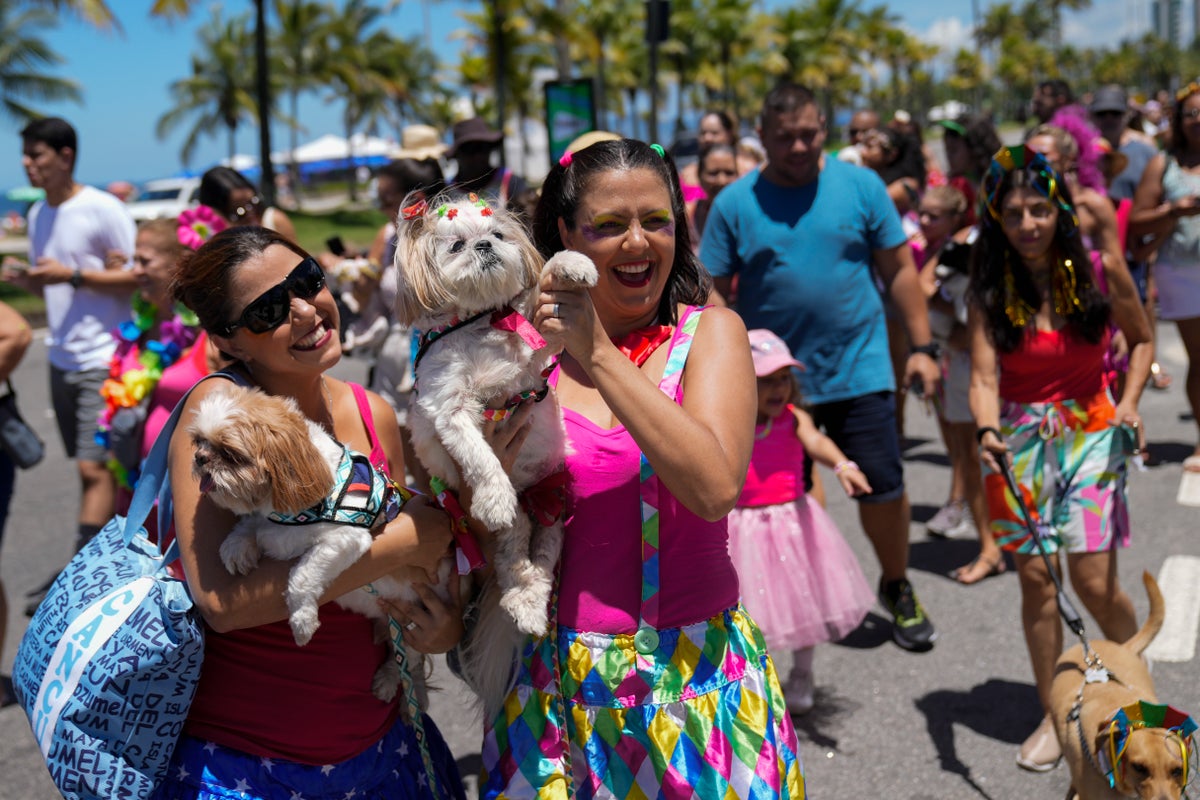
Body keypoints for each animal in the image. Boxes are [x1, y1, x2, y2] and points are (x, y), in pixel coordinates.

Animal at [192, 381, 446, 700]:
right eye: (199, 441)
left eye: (231, 453)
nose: (200, 458)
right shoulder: (269, 522)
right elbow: (252, 524)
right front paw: (238, 546)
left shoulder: (346, 538)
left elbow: (302, 574)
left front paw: (302, 621)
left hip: (414, 623)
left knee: (408, 658)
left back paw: (389, 679)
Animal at [396, 195, 597, 714]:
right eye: (457, 245)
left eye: (499, 235)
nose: (484, 246)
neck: (480, 325)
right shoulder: (451, 408)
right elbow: (480, 457)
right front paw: (493, 495)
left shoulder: (534, 360)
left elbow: (549, 279)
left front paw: (575, 264)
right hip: (511, 527)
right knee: (512, 557)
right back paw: (518, 594)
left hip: (552, 513)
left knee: (540, 564)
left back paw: (530, 604)